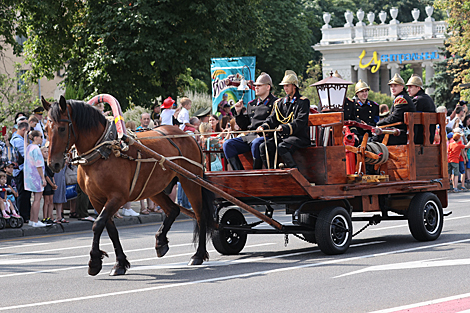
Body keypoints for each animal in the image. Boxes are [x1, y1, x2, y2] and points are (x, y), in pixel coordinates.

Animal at [42, 95, 215, 276]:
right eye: (46, 129)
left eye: (62, 128)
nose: (53, 164)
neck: (103, 152)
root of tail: (189, 137)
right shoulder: (96, 199)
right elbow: (110, 229)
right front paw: (119, 263)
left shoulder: (117, 197)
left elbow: (98, 224)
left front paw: (94, 261)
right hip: (152, 188)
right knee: (173, 209)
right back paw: (161, 242)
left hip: (190, 181)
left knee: (200, 214)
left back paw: (198, 254)